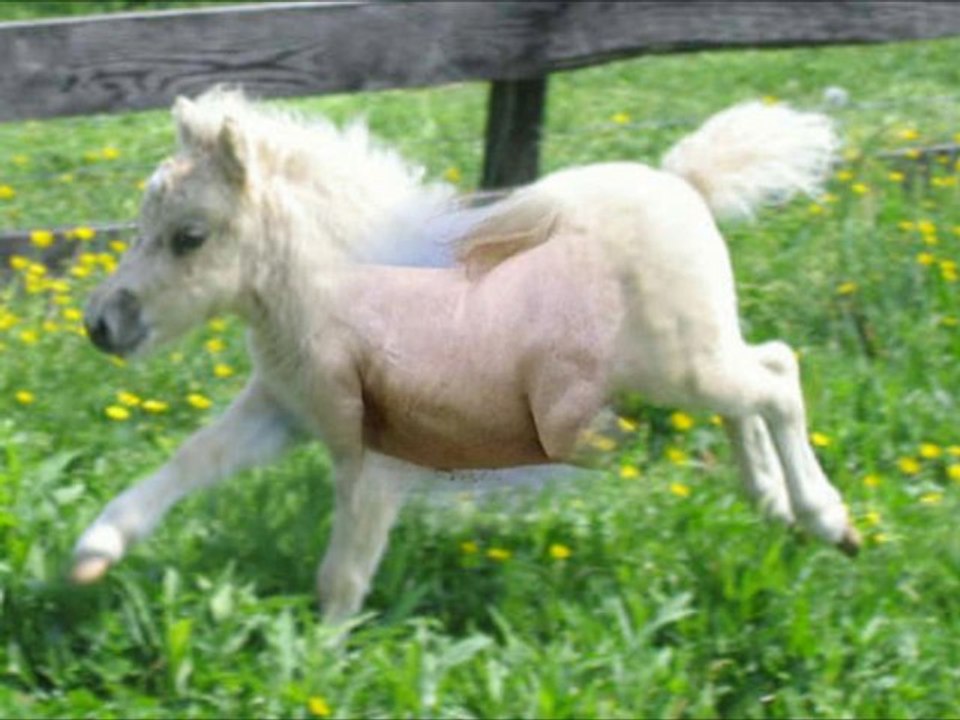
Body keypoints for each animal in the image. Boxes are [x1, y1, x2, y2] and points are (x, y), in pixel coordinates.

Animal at [73, 88, 859, 622]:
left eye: (190, 237)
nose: (102, 325)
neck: (343, 292)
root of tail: (681, 182)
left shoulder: (378, 454)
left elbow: (343, 574)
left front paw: (316, 668)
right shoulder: (283, 409)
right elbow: (192, 460)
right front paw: (94, 550)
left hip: (682, 364)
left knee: (777, 379)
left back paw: (829, 521)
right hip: (687, 357)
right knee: (760, 375)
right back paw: (771, 503)